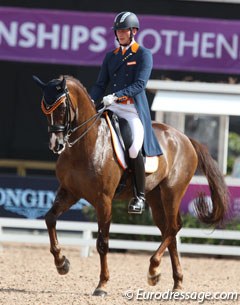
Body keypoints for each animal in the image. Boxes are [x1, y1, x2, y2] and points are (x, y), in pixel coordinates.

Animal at [33, 75, 229, 296]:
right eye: (44, 110)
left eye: (61, 108)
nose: (56, 145)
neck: (86, 144)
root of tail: (185, 138)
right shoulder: (70, 192)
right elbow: (50, 218)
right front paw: (61, 263)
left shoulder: (103, 200)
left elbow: (102, 242)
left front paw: (102, 284)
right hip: (155, 196)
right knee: (168, 231)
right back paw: (174, 282)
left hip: (172, 192)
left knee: (173, 227)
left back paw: (153, 269)